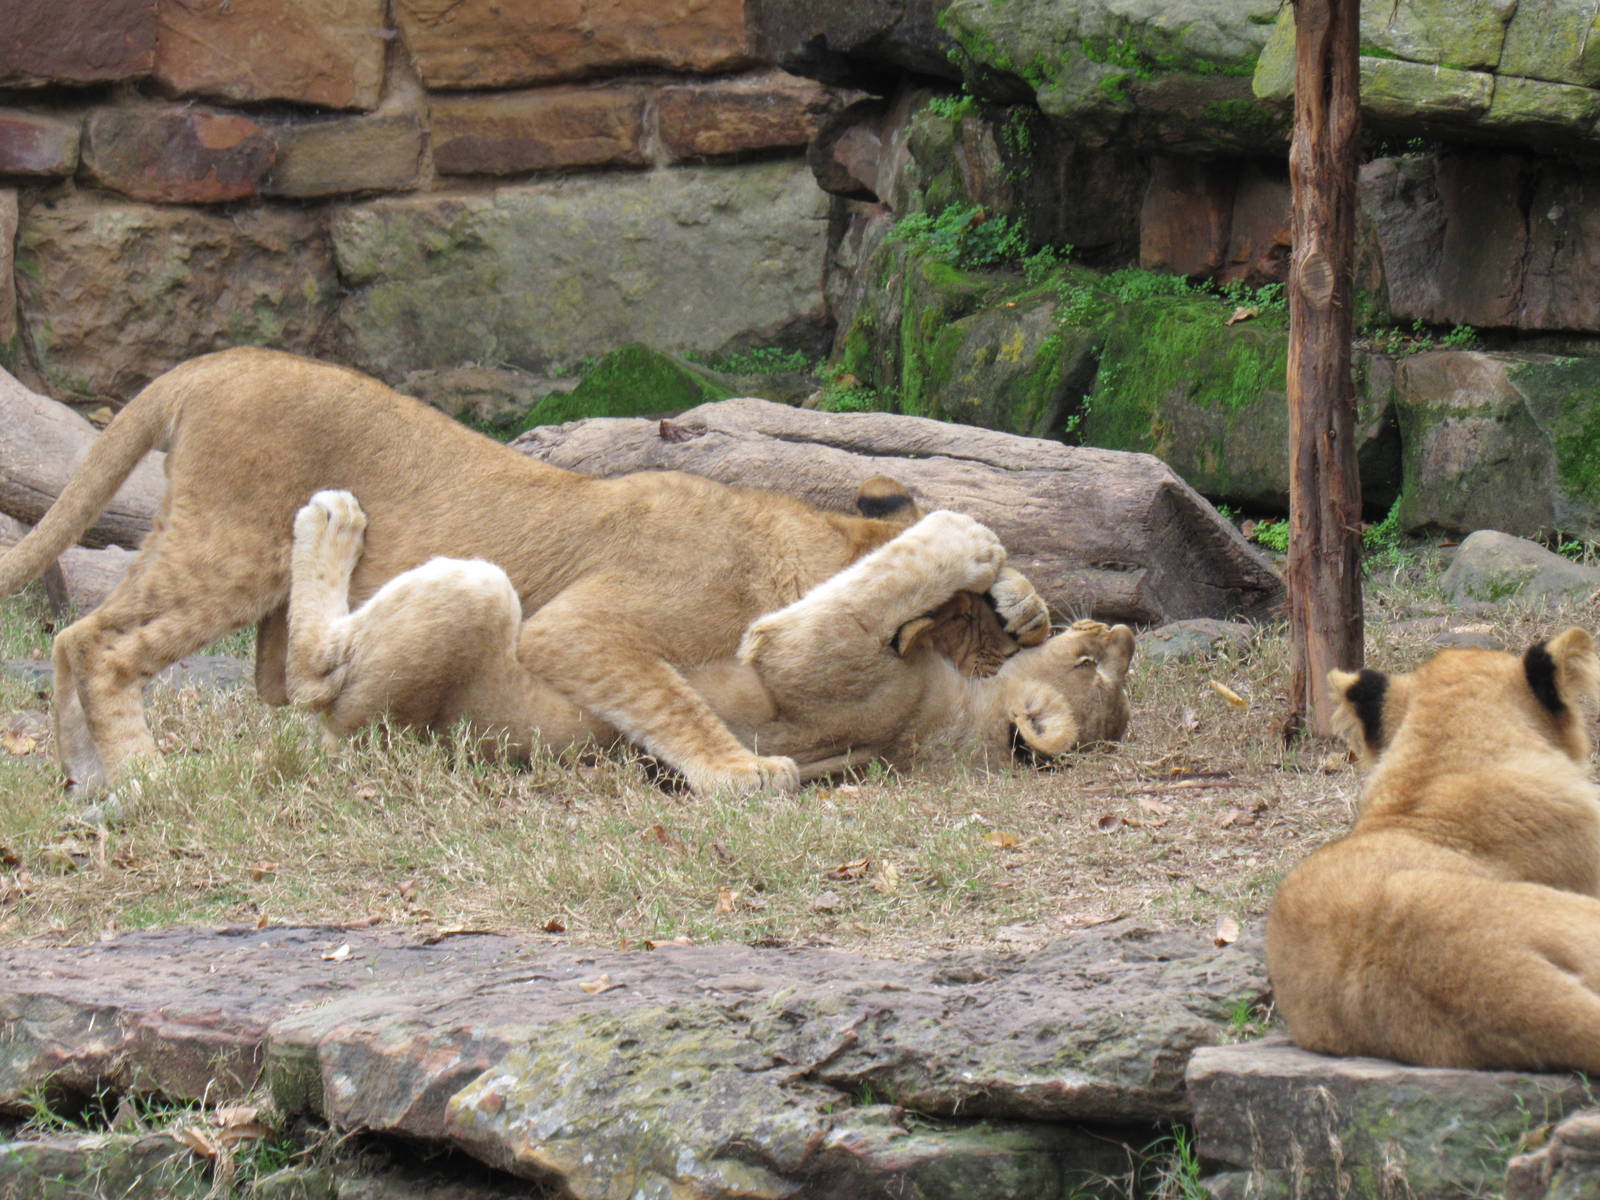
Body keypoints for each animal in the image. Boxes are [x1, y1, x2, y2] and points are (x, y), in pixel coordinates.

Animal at [286, 491, 1134, 777]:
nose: (1124, 629)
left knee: (309, 673)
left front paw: (971, 542)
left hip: (470, 592)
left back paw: (330, 521)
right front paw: (1014, 593)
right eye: (1097, 660)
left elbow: (887, 572)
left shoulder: (813, 654)